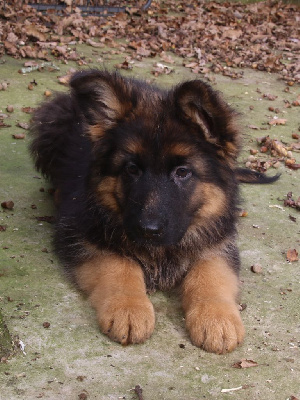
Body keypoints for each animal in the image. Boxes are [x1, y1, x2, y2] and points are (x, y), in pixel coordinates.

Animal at [30, 70, 278, 354]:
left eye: (182, 172)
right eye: (132, 169)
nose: (147, 231)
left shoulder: (217, 242)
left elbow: (211, 273)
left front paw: (216, 317)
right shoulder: (80, 233)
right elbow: (118, 264)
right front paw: (129, 308)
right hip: (51, 124)